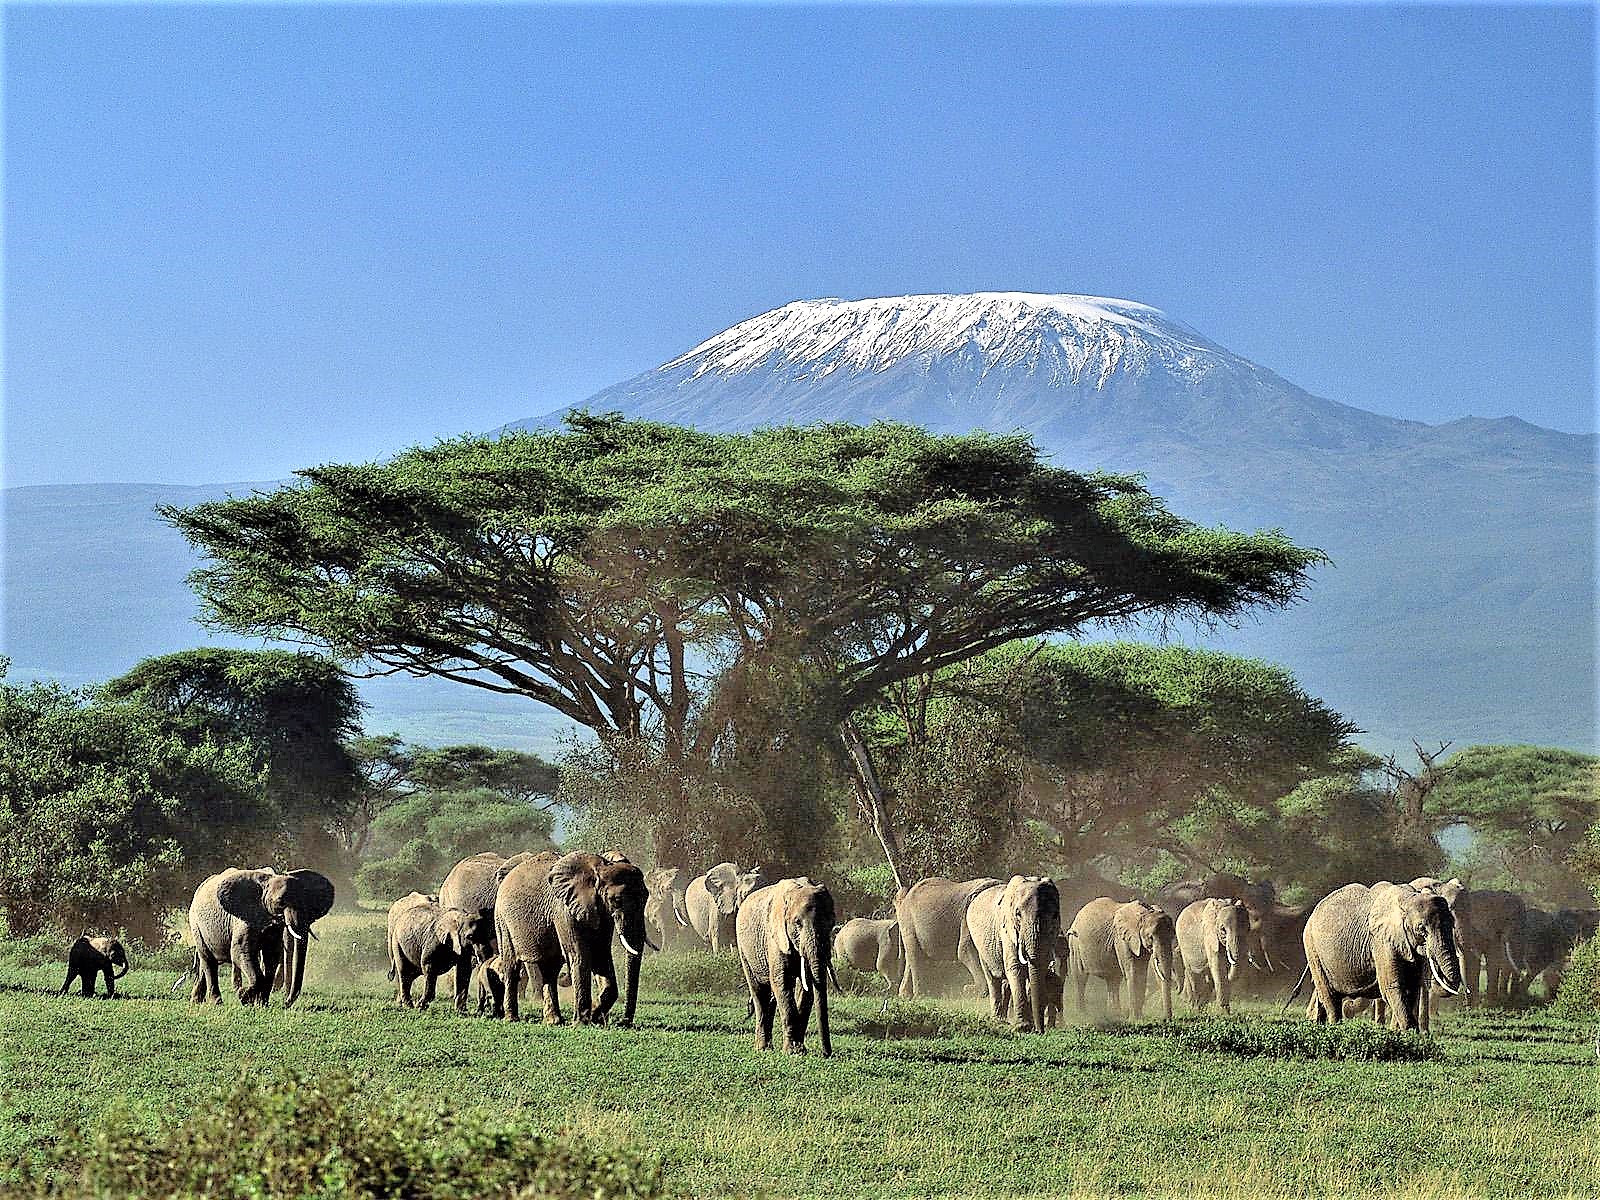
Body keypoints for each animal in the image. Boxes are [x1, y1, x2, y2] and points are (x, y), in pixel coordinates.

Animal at [187, 870, 334, 1011]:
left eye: (307, 903)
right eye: (280, 902)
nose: (285, 1004)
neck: (268, 881)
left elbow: (272, 956)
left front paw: (261, 1004)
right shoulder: (244, 918)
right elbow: (240, 952)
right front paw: (243, 996)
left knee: (206, 964)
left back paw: (196, 1001)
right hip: (196, 925)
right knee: (208, 960)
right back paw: (217, 1003)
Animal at [496, 851, 652, 1030]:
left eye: (646, 897)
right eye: (617, 900)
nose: (624, 1022)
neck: (600, 868)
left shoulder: (601, 914)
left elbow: (601, 956)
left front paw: (596, 1017)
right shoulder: (564, 910)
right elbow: (579, 956)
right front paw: (582, 1024)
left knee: (550, 970)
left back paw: (553, 1021)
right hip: (502, 920)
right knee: (511, 965)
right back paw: (512, 1019)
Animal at [736, 876, 838, 1056]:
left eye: (831, 922)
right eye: (797, 923)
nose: (827, 1054)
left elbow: (806, 987)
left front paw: (799, 1050)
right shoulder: (776, 938)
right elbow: (782, 981)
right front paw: (792, 1052)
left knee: (770, 998)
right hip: (744, 949)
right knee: (759, 993)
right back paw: (762, 1049)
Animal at [960, 876, 1062, 1036]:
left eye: (1055, 915)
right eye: (1018, 914)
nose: (1040, 1031)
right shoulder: (1007, 930)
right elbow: (1016, 968)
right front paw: (1023, 1028)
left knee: (1005, 983)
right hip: (981, 944)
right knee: (992, 979)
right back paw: (998, 1020)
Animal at [1299, 876, 1465, 1030]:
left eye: (1451, 924)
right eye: (1421, 929)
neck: (1409, 898)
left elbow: (1412, 986)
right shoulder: (1381, 941)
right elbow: (1393, 986)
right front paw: (1409, 1033)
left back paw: (1317, 1024)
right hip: (1312, 947)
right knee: (1330, 996)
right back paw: (1334, 1027)